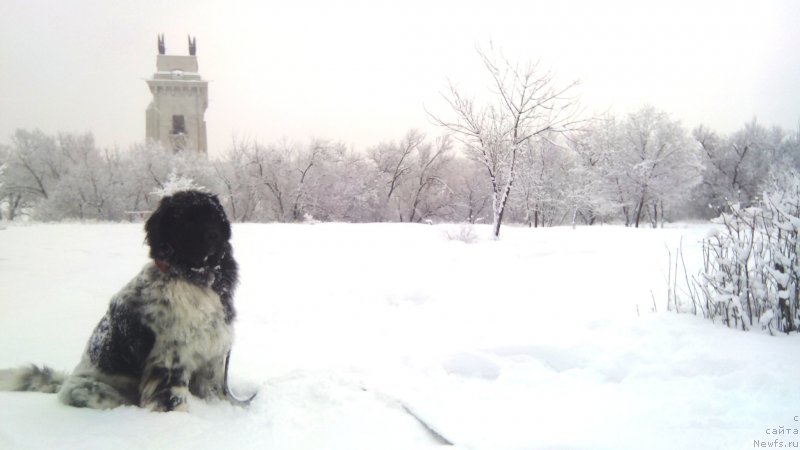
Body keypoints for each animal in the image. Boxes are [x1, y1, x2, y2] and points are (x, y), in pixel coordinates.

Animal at [0, 190, 250, 412]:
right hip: (95, 392)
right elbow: (174, 400)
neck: (194, 278)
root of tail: (65, 382)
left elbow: (213, 390)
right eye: (186, 221)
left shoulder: (212, 355)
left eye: (213, 217)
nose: (213, 236)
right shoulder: (170, 360)